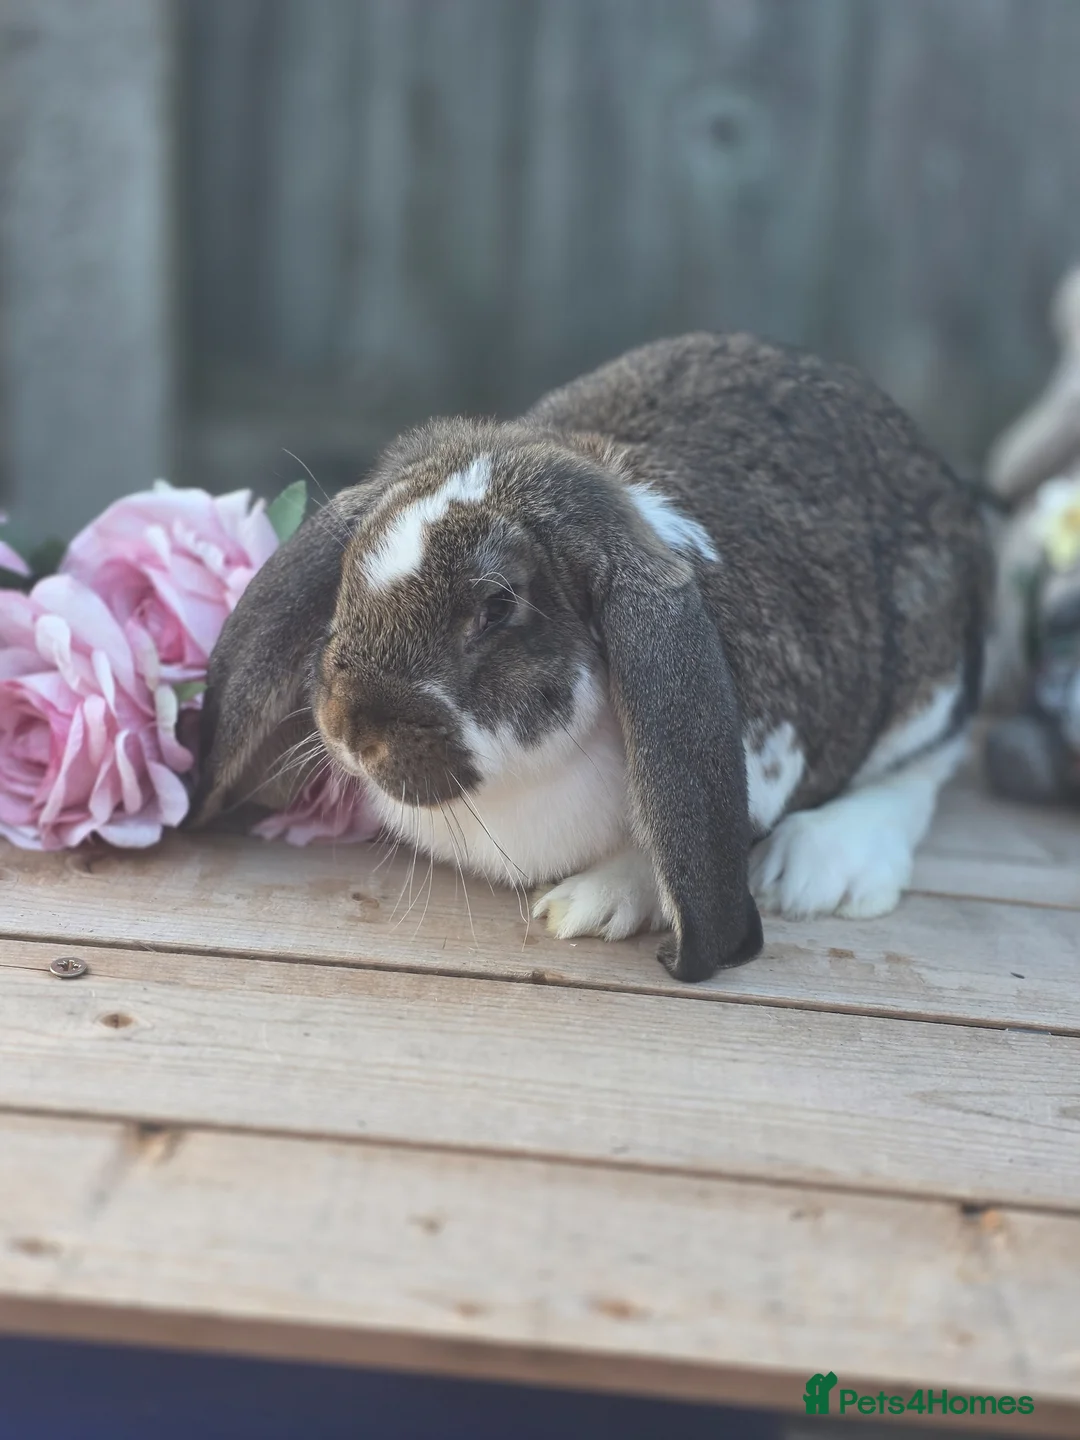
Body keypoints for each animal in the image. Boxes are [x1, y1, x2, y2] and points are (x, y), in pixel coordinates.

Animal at [190, 332, 993, 983]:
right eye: (350, 568)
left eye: (498, 606)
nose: (350, 728)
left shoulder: (769, 753)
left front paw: (589, 902)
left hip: (928, 686)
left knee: (925, 769)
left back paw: (822, 868)